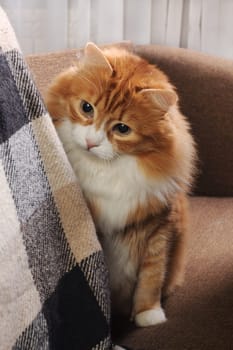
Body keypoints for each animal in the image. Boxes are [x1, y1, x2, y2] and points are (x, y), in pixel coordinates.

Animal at [45, 42, 195, 326]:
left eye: (122, 129)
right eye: (87, 108)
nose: (91, 143)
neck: (107, 172)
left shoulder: (160, 228)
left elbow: (151, 279)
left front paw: (148, 314)